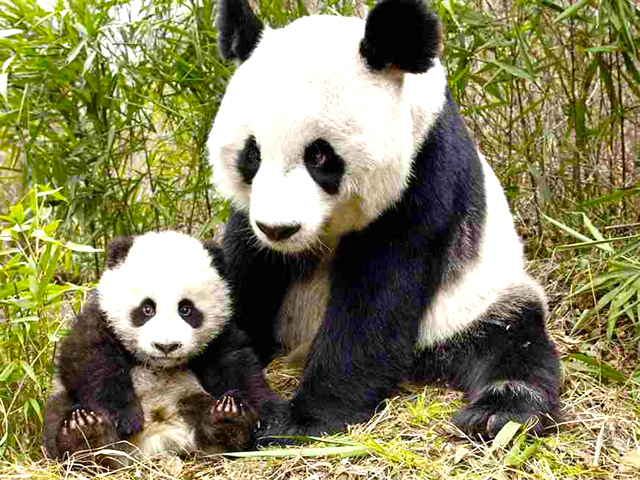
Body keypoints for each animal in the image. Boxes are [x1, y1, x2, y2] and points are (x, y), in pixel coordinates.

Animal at [42, 232, 278, 464]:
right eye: (147, 309)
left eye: (186, 309)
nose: (166, 346)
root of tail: (157, 441)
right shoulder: (100, 317)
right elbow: (89, 358)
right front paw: (124, 417)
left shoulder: (219, 334)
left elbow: (236, 364)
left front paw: (263, 415)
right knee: (59, 412)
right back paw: (85, 436)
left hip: (190, 398)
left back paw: (228, 421)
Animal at [209, 0, 560, 438]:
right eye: (252, 154)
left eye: (320, 156)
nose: (278, 229)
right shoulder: (250, 219)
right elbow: (245, 271)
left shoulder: (424, 175)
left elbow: (377, 298)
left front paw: (301, 420)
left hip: (477, 299)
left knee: (513, 342)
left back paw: (499, 413)